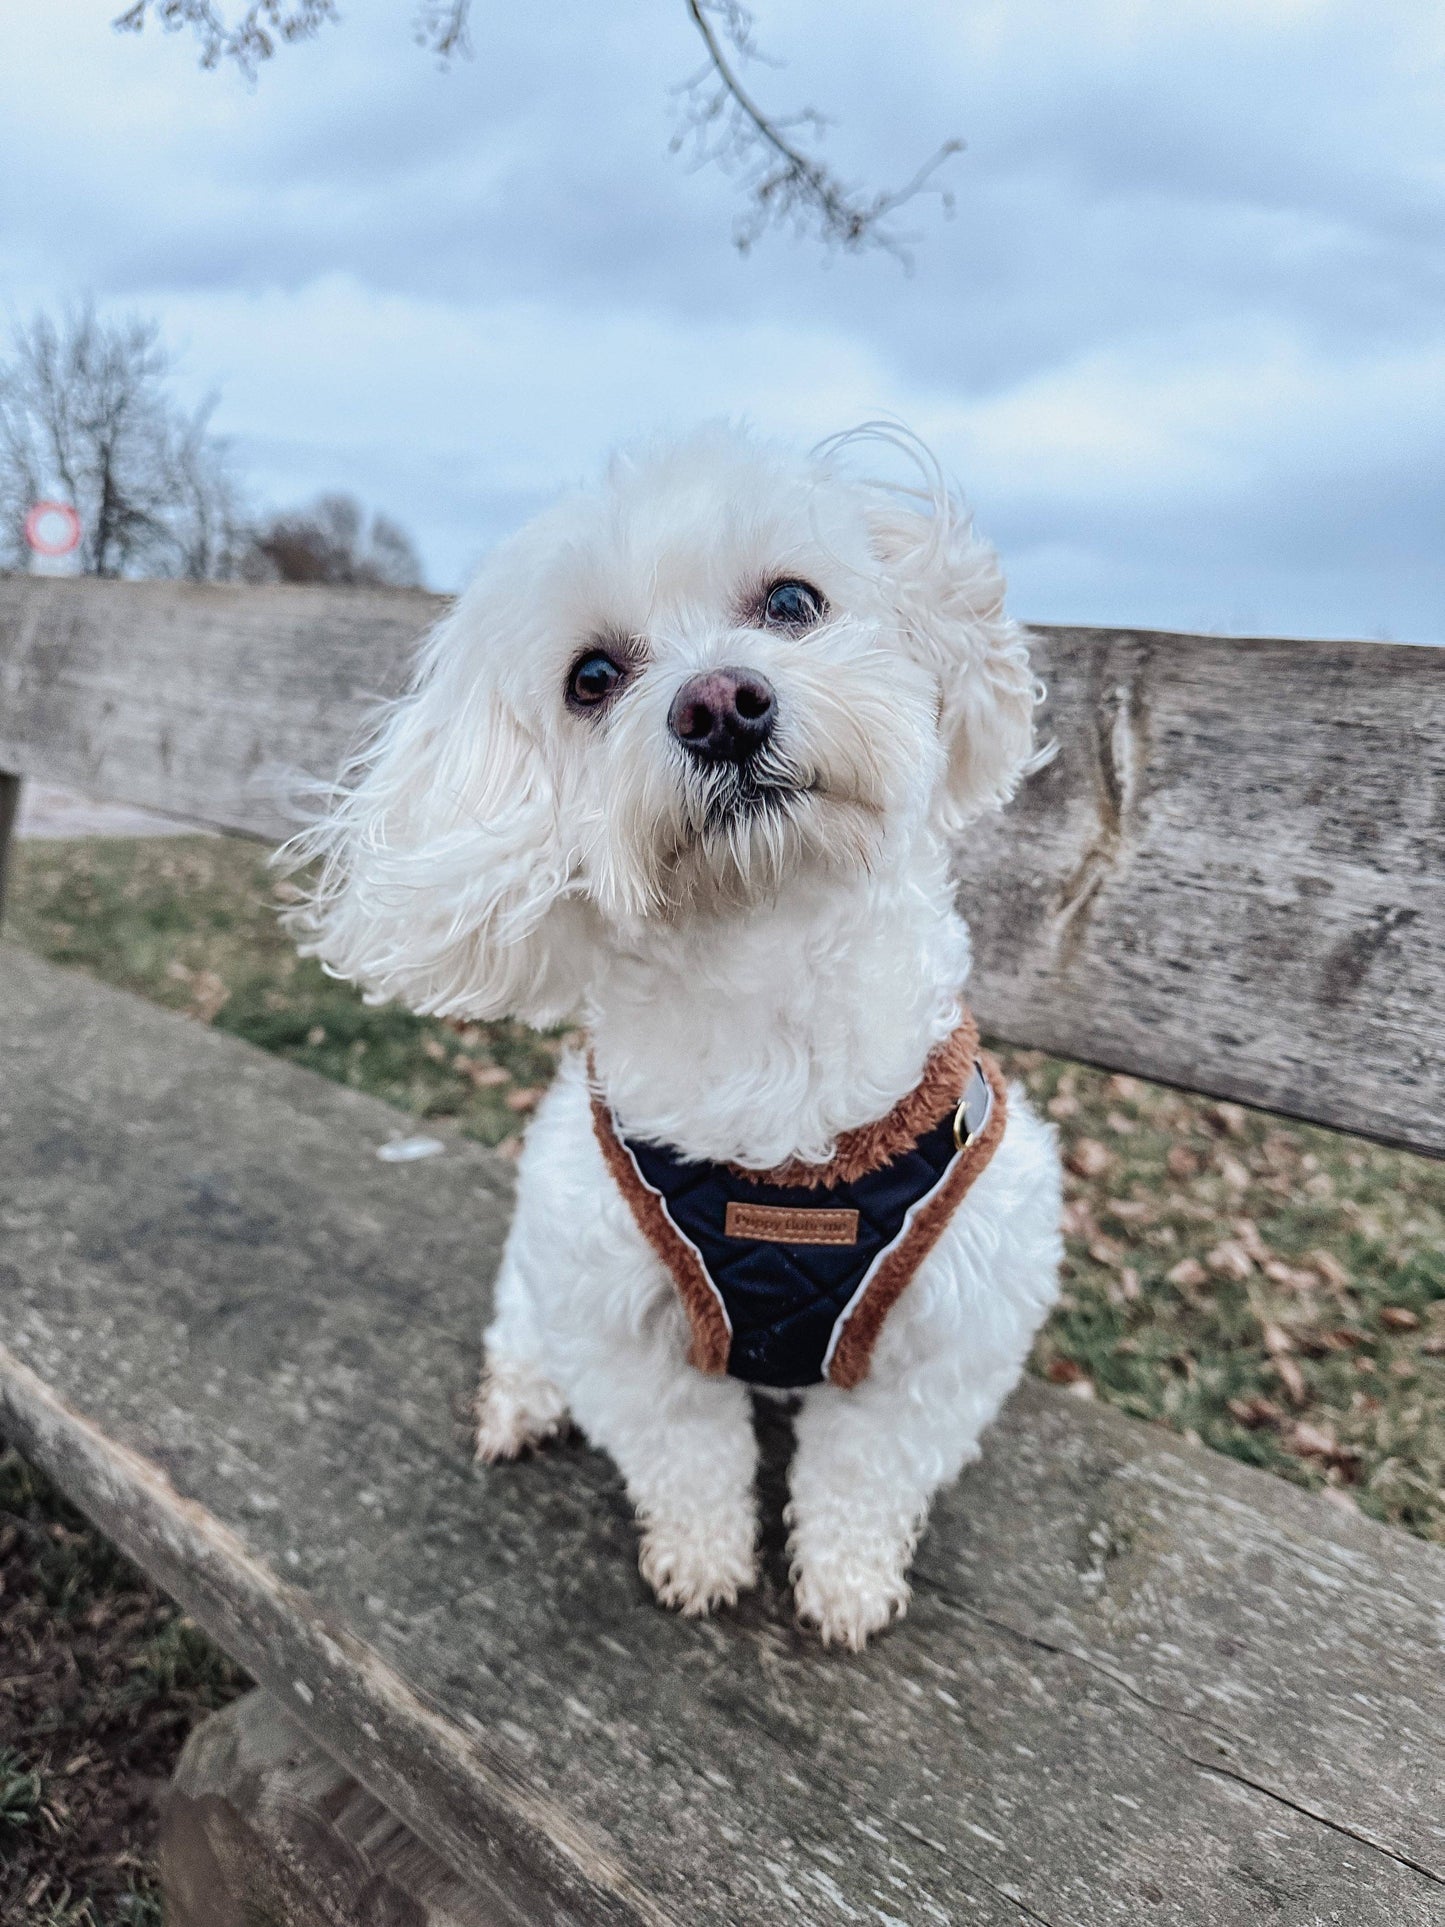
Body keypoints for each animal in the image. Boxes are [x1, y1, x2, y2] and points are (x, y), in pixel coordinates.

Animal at [290, 429, 1063, 1649]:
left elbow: (865, 1474)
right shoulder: (620, 1319)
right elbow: (687, 1460)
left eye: (791, 601)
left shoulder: (944, 1337)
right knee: (519, 1327)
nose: (719, 704)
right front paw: (703, 1563)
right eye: (590, 678)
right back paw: (522, 1401)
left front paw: (844, 1584)